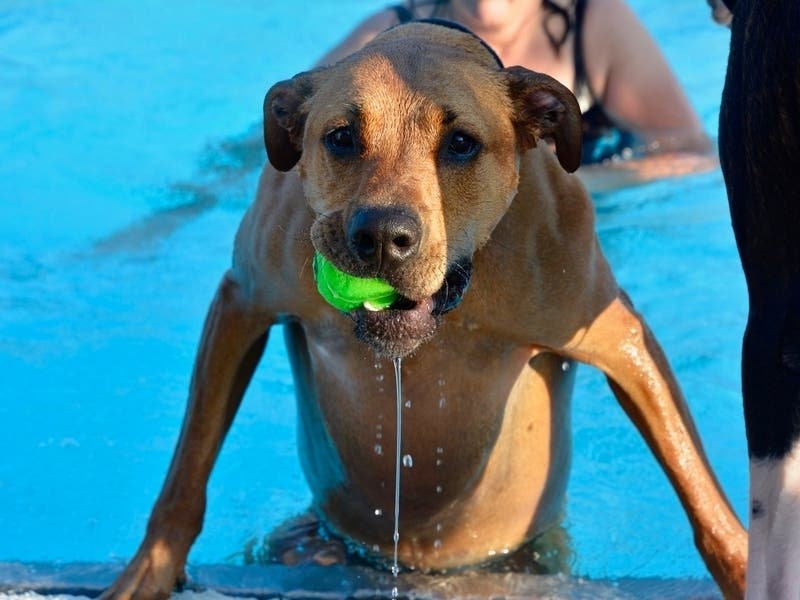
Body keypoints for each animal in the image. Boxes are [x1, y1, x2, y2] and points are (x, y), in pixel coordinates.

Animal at [103, 19, 748, 600]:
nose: (383, 236)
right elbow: (186, 473)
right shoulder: (243, 301)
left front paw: (745, 566)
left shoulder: (618, 335)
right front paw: (147, 571)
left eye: (460, 144)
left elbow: (698, 489)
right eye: (341, 137)